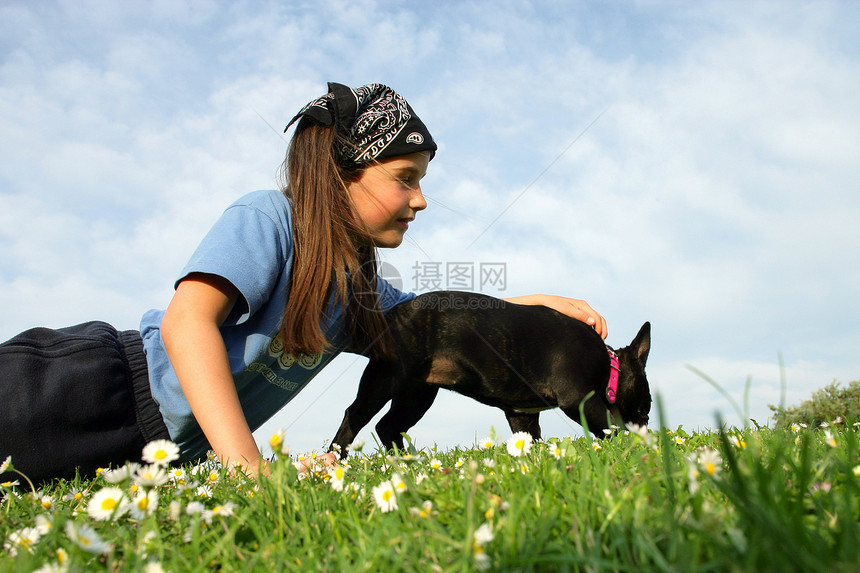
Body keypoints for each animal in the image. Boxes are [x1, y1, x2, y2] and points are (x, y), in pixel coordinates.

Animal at [330, 290, 652, 456]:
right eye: (646, 410)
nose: (647, 424)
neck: (610, 368)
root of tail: (387, 317)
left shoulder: (522, 414)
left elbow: (531, 439)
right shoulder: (580, 400)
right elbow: (613, 425)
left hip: (417, 395)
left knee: (389, 426)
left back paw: (407, 462)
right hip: (385, 379)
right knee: (354, 416)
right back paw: (339, 459)